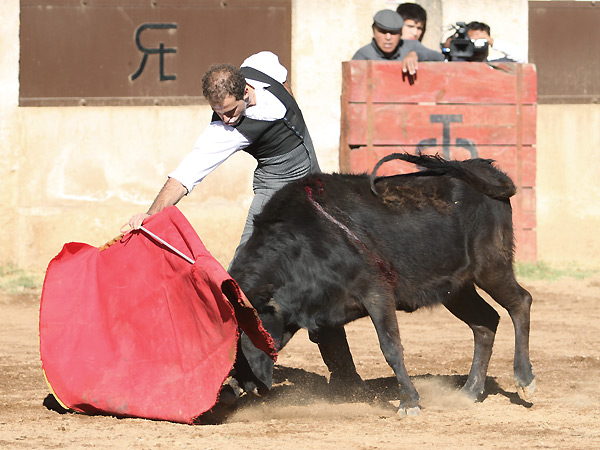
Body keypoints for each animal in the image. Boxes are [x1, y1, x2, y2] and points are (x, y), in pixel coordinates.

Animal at [226, 152, 536, 414]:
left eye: (246, 331)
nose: (250, 386)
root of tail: (481, 168)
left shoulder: (375, 291)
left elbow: (390, 346)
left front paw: (409, 402)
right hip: (456, 288)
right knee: (485, 323)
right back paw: (470, 392)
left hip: (491, 266)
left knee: (520, 303)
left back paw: (524, 380)